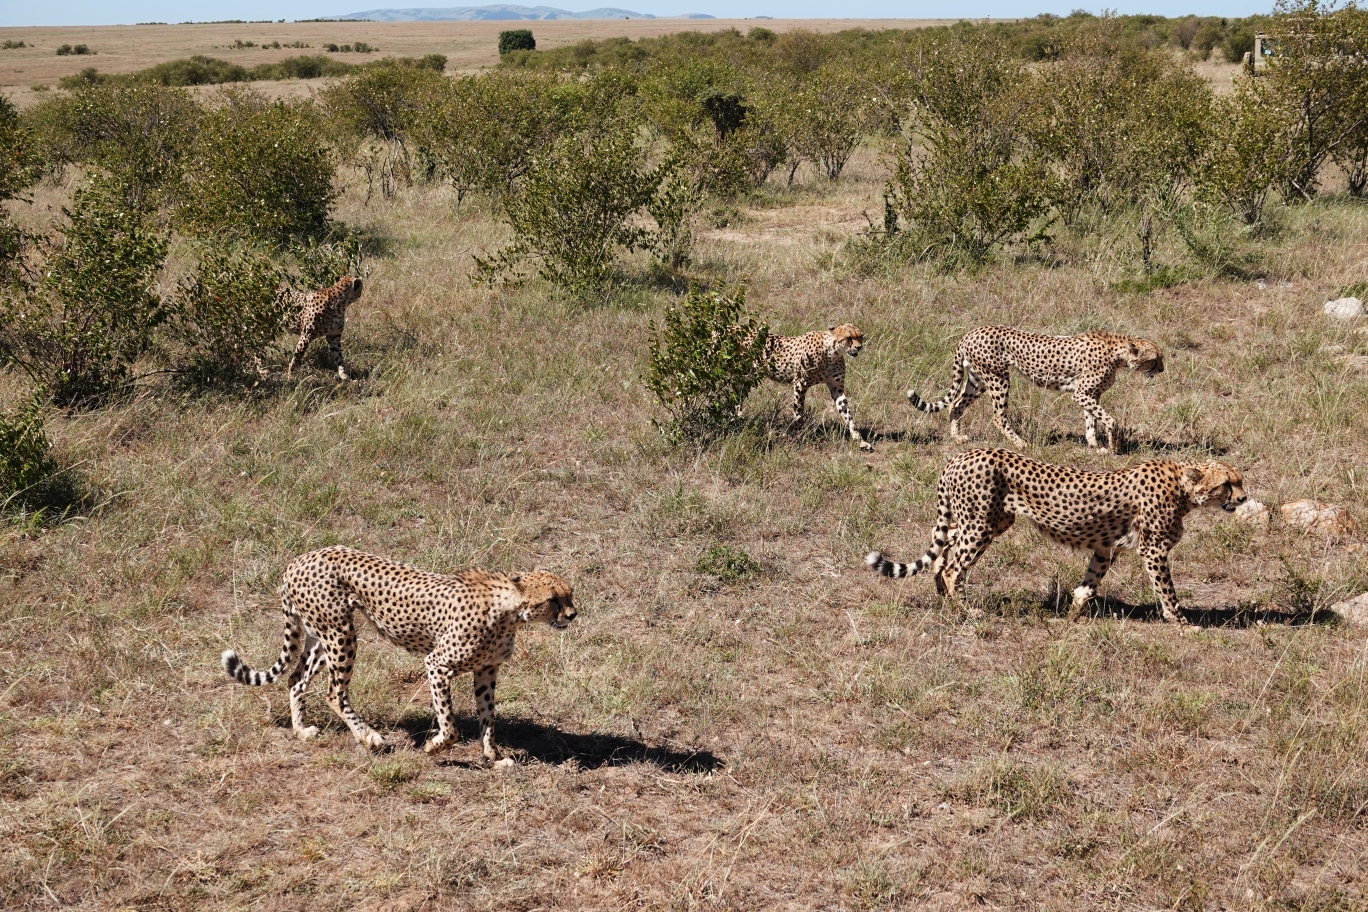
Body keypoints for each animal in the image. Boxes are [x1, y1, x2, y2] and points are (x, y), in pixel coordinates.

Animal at [221, 549, 574, 765]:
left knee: (296, 679)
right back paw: (371, 738)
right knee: (334, 693)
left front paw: (494, 756)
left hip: (322, 636)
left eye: (569, 595)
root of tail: (299, 559)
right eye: (553, 599)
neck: (508, 610)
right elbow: (450, 725)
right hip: (340, 634)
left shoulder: (486, 669)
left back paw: (301, 730)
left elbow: (488, 717)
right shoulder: (437, 664)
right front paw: (433, 746)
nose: (572, 614)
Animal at [755, 324, 870, 453]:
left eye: (860, 336)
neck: (832, 352)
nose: (859, 347)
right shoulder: (800, 384)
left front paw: (859, 439)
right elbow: (799, 413)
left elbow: (847, 414)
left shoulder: (837, 388)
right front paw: (798, 436)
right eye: (849, 337)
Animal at [870, 451, 1247, 628]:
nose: (1244, 499)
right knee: (953, 567)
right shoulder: (1153, 550)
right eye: (1227, 484)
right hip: (980, 524)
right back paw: (966, 609)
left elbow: (1088, 585)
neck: (1183, 487)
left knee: (944, 549)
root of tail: (959, 456)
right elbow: (1167, 591)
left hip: (984, 521)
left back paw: (943, 597)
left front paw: (1069, 617)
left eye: (1240, 480)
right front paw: (1183, 624)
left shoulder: (1105, 547)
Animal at [908, 328, 1165, 456]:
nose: (1162, 370)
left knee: (956, 404)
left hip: (978, 380)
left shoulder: (1091, 395)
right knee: (998, 416)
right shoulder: (1082, 394)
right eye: (1155, 359)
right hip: (998, 379)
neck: (1117, 353)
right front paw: (1114, 445)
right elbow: (1110, 420)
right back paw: (1021, 444)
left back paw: (957, 437)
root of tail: (971, 332)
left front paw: (1094, 445)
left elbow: (1091, 420)